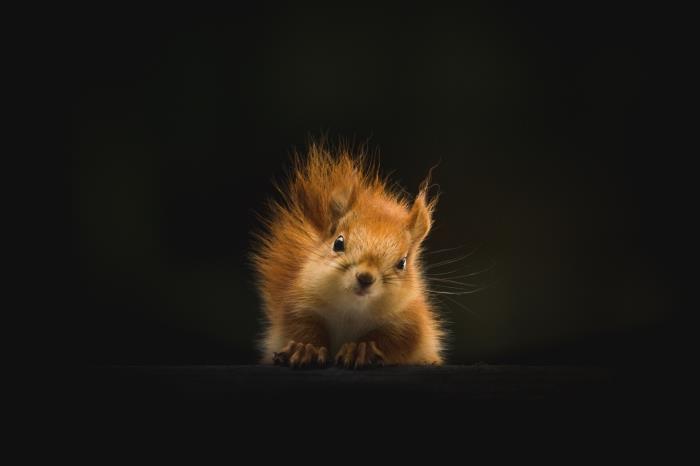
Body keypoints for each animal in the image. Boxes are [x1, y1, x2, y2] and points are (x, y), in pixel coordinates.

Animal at [253, 141, 442, 368]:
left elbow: (393, 340)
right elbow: (301, 327)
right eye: (338, 243)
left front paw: (361, 349)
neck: (352, 310)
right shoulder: (300, 303)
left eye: (402, 263)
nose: (365, 277)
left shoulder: (409, 321)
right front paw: (305, 348)